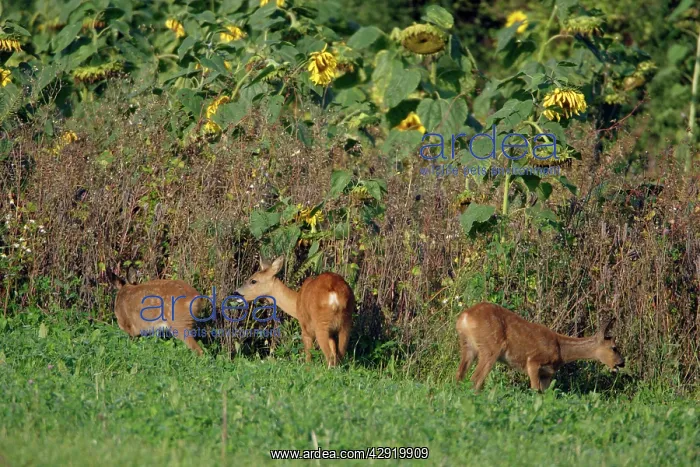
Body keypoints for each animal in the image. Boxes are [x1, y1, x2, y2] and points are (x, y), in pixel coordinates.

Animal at [455, 302, 625, 392]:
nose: (622, 363)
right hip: (490, 347)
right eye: (614, 347)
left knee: (460, 374)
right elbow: (535, 390)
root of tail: (464, 317)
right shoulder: (533, 362)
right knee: (476, 378)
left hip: (468, 346)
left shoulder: (547, 374)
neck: (561, 350)